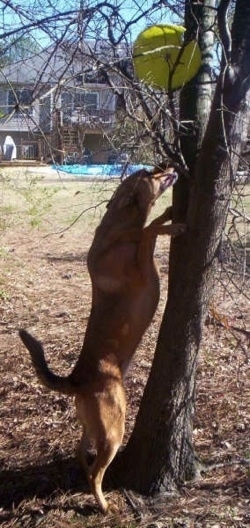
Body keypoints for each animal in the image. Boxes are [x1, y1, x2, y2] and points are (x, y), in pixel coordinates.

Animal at [18, 165, 185, 512]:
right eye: (149, 173)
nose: (170, 166)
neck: (120, 225)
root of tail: (76, 380)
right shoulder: (141, 264)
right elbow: (148, 231)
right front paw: (174, 224)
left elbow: (149, 226)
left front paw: (167, 213)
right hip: (114, 430)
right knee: (96, 472)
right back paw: (104, 505)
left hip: (93, 427)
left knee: (82, 454)